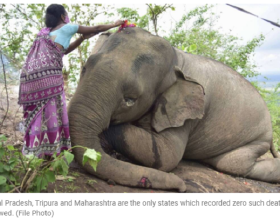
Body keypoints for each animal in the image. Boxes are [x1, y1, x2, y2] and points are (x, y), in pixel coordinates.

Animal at [68, 26, 280, 192]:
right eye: (84, 69)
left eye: (130, 99)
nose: (182, 187)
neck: (177, 57)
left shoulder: (188, 114)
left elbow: (168, 156)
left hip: (257, 138)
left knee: (233, 164)